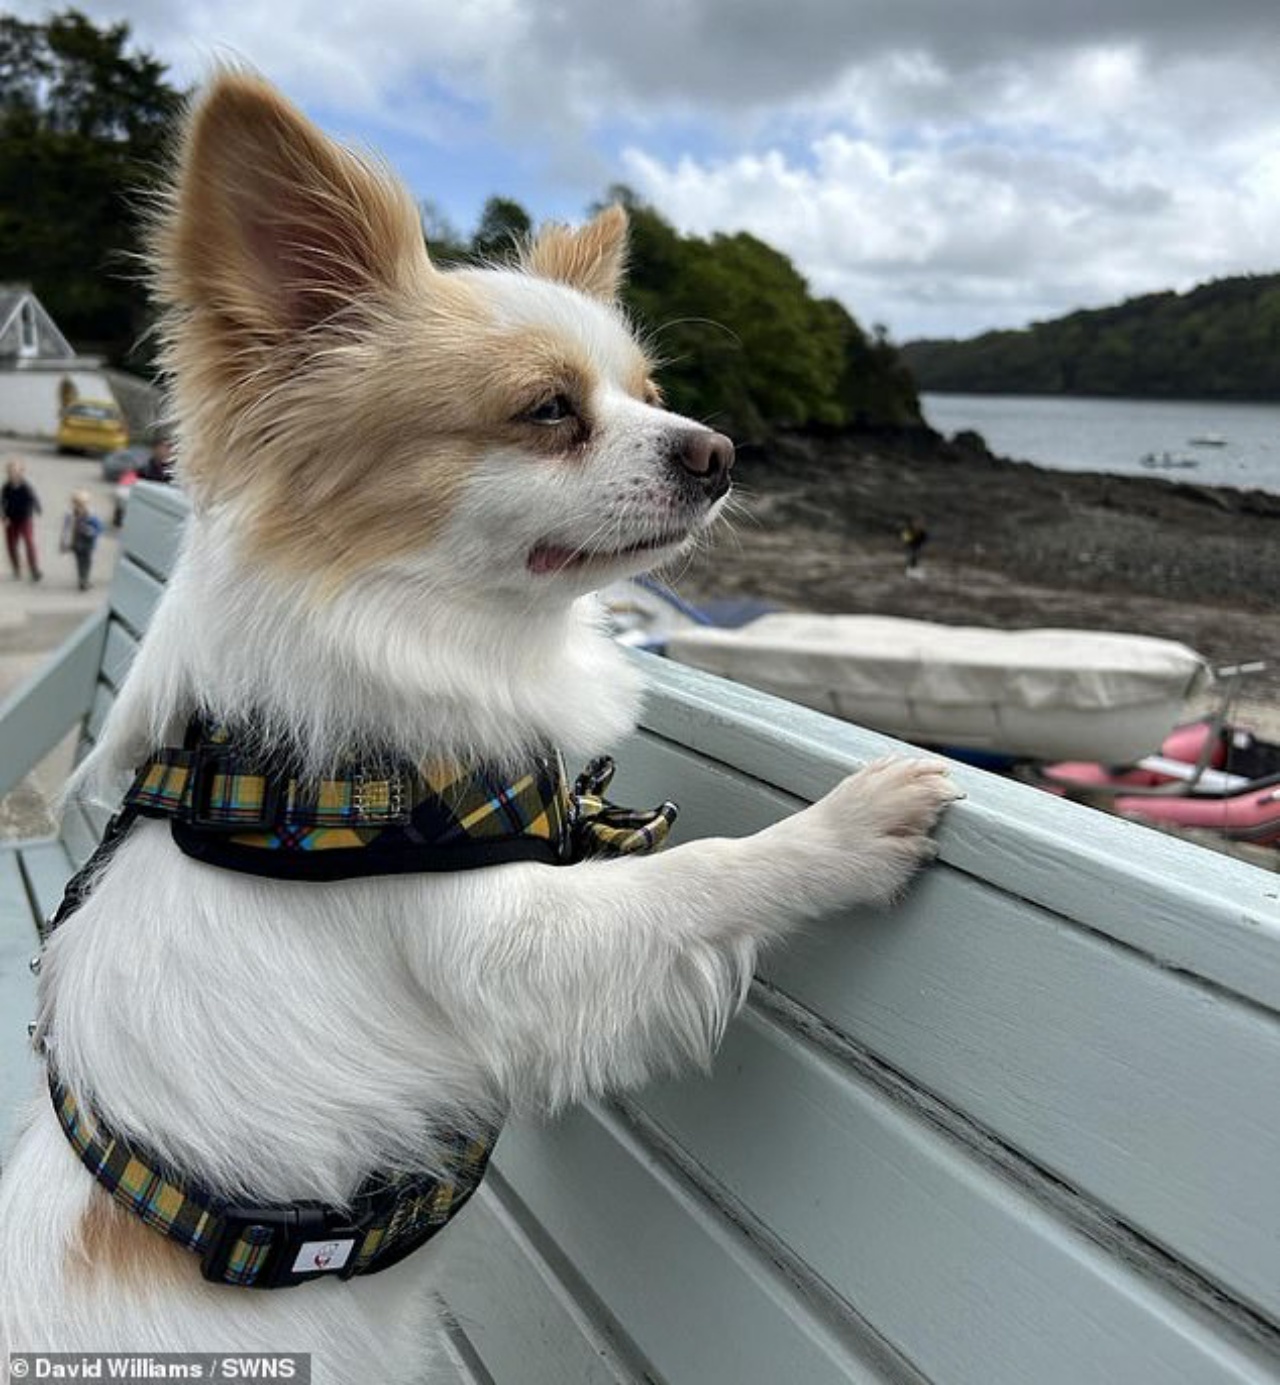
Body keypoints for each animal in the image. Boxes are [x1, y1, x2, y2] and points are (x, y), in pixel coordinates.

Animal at [0, 73, 958, 1385]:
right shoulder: (502, 942)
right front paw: (850, 823)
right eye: (548, 411)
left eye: (650, 399)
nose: (716, 449)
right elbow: (696, 876)